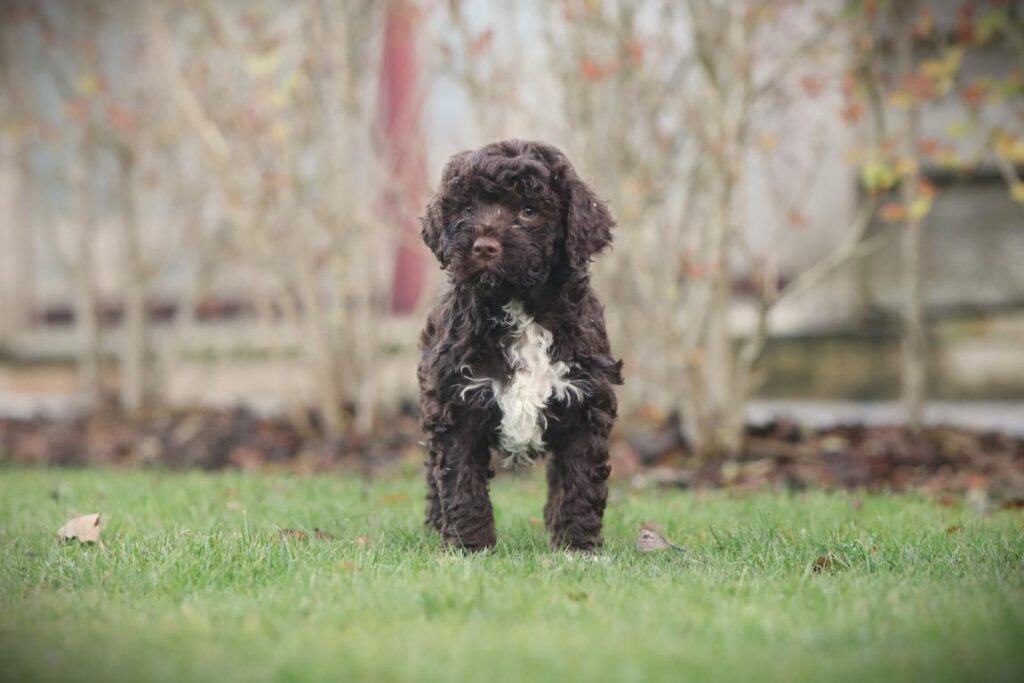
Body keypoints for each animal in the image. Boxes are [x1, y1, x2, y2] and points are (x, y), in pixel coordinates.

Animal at [417, 139, 623, 551]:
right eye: (466, 208)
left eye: (529, 211)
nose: (483, 247)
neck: (519, 304)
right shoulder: (455, 401)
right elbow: (459, 479)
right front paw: (469, 546)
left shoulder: (586, 402)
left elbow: (580, 481)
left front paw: (578, 546)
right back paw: (435, 524)